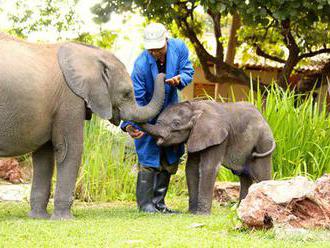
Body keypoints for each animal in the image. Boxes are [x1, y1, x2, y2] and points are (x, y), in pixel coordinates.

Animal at [0, 32, 165, 219]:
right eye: (126, 94)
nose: (165, 75)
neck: (90, 54)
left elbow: (44, 154)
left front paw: (39, 218)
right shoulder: (70, 98)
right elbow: (69, 149)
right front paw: (64, 219)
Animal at [142, 100, 276, 214]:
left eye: (176, 124)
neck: (195, 108)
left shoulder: (219, 138)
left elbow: (208, 167)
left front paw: (202, 214)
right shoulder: (196, 136)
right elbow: (191, 168)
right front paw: (192, 213)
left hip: (263, 142)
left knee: (262, 175)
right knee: (244, 177)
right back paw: (240, 209)